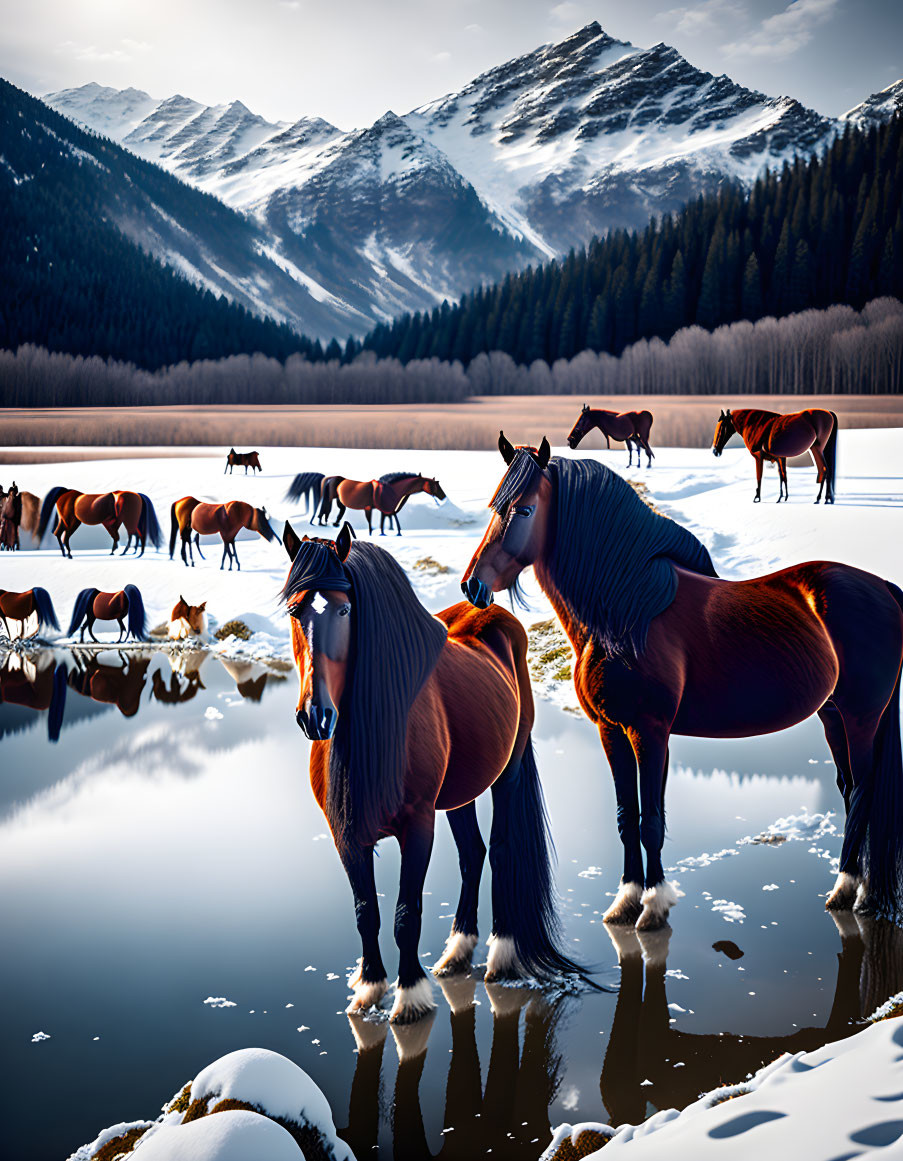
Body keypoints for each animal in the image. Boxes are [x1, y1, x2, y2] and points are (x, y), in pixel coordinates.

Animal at [283, 522, 591, 1021]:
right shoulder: (344, 832)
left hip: (506, 772)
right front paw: (369, 988)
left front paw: (409, 997)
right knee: (472, 854)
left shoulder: (418, 825)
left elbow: (406, 914)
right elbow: (365, 911)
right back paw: (457, 953)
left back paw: (501, 954)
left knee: (500, 851)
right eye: (295, 610)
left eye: (346, 608)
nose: (316, 716)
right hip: (459, 793)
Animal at [315, 471, 445, 534]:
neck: (390, 490)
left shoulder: (387, 509)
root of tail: (334, 478)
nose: (443, 496)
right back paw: (323, 523)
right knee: (325, 509)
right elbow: (379, 521)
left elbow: (389, 519)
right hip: (330, 498)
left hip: (339, 501)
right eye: (436, 485)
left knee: (337, 511)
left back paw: (333, 524)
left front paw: (391, 531)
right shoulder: (381, 509)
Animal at [461, 436, 900, 933]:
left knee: (863, 791)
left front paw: (652, 907)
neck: (626, 612)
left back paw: (845, 891)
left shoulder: (649, 732)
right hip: (833, 715)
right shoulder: (612, 731)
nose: (473, 586)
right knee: (849, 788)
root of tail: (882, 587)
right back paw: (857, 887)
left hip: (862, 716)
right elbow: (627, 818)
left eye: (524, 509)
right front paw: (625, 901)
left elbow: (651, 821)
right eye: (495, 505)